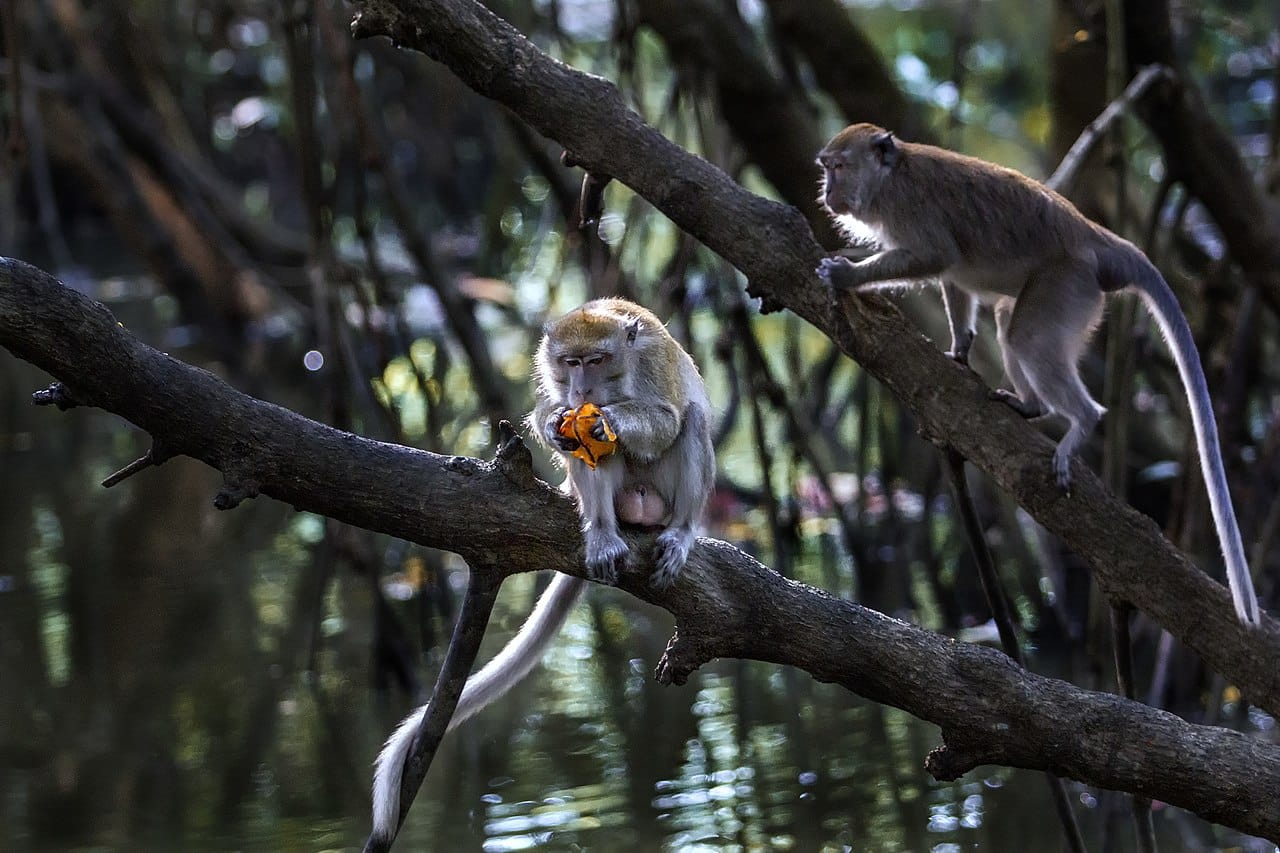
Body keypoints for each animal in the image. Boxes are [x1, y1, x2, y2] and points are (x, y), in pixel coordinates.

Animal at [371, 297, 715, 843]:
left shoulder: (654, 364)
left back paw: (679, 532)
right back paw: (602, 531)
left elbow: (665, 418)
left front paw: (606, 420)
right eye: (570, 363)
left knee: (692, 420)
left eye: (596, 361)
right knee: (593, 464)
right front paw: (557, 421)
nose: (581, 392)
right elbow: (551, 422)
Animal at [814, 122, 1261, 628]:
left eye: (840, 167)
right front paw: (960, 348)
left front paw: (847, 276)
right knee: (1010, 323)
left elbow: (935, 255)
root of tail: (1093, 234)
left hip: (1068, 282)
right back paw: (1031, 406)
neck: (891, 176)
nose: (827, 194)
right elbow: (953, 276)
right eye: (827, 169)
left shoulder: (910, 209)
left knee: (1027, 336)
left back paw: (1080, 421)